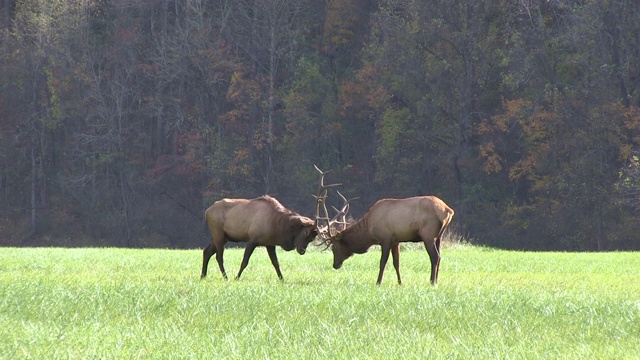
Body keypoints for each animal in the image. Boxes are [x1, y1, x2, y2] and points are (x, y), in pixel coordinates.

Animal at [316, 167, 456, 286]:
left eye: (334, 247)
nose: (335, 265)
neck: (369, 231)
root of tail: (448, 210)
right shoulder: (396, 241)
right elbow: (396, 262)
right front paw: (400, 282)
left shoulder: (386, 239)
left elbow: (382, 262)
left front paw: (378, 282)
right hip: (439, 236)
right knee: (440, 256)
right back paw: (436, 280)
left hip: (428, 235)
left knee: (435, 257)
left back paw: (432, 282)